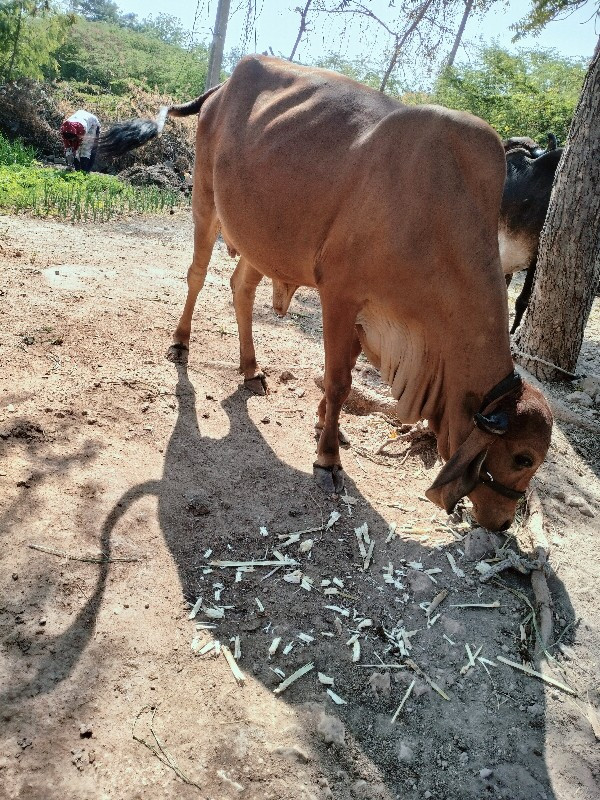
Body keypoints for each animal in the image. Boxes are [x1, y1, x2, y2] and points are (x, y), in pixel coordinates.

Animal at [99, 56, 552, 532]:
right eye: (522, 457)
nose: (502, 522)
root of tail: (219, 89)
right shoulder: (340, 295)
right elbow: (338, 382)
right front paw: (327, 459)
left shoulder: (364, 314)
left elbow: (344, 373)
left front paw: (324, 426)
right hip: (205, 202)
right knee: (197, 275)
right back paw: (181, 343)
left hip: (262, 240)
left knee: (241, 287)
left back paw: (250, 368)